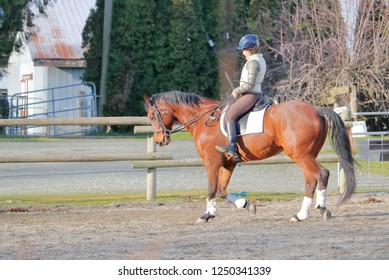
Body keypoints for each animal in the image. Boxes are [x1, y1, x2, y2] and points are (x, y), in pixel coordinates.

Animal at [143, 91, 354, 223]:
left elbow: (211, 188)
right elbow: (222, 190)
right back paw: (300, 215)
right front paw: (246, 205)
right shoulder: (227, 164)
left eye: (152, 116)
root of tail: (316, 109)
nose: (160, 140)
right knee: (310, 181)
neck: (204, 120)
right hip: (307, 155)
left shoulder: (211, 161)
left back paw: (322, 209)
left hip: (301, 155)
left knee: (322, 174)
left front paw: (206, 215)